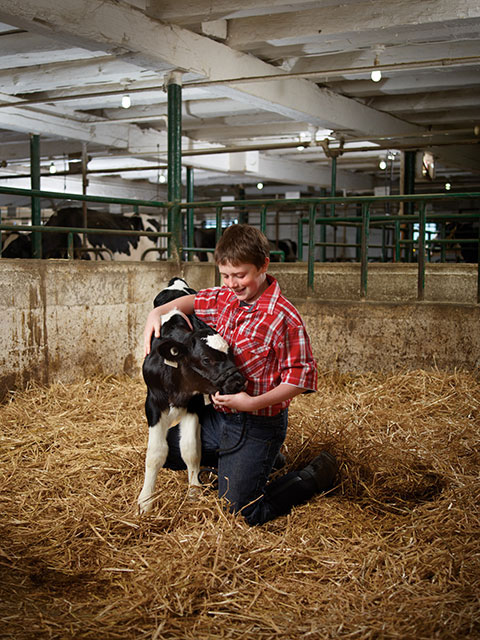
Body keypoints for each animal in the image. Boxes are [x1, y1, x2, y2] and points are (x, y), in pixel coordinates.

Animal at [138, 278, 244, 512]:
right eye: (205, 359)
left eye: (230, 352)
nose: (238, 381)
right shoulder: (153, 405)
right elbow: (155, 453)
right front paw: (145, 501)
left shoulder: (194, 403)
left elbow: (190, 449)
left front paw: (194, 491)